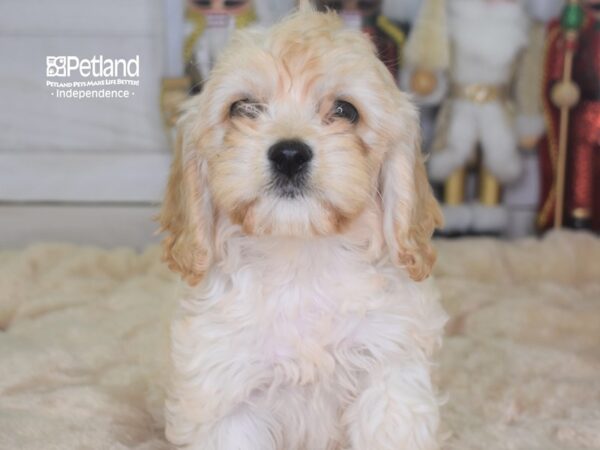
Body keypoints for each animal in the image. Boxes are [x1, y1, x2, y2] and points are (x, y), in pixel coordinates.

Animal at [159, 4, 446, 450]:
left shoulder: (389, 372)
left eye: (345, 110)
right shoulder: (227, 391)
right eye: (242, 107)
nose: (290, 154)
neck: (300, 259)